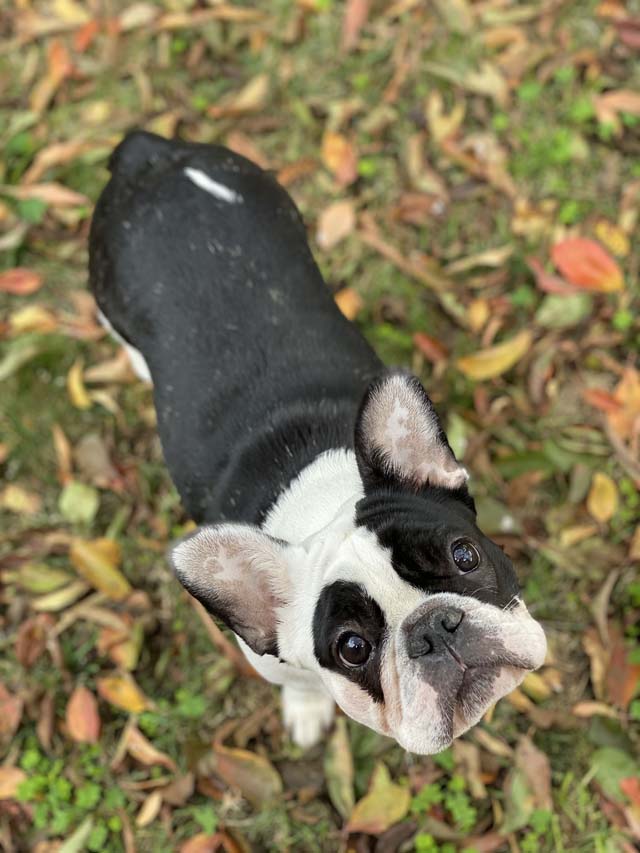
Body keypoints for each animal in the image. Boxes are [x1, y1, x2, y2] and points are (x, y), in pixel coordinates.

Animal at [89, 131, 546, 754]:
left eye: (464, 555)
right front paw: (307, 711)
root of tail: (152, 154)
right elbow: (301, 686)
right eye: (352, 649)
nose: (433, 626)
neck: (321, 492)